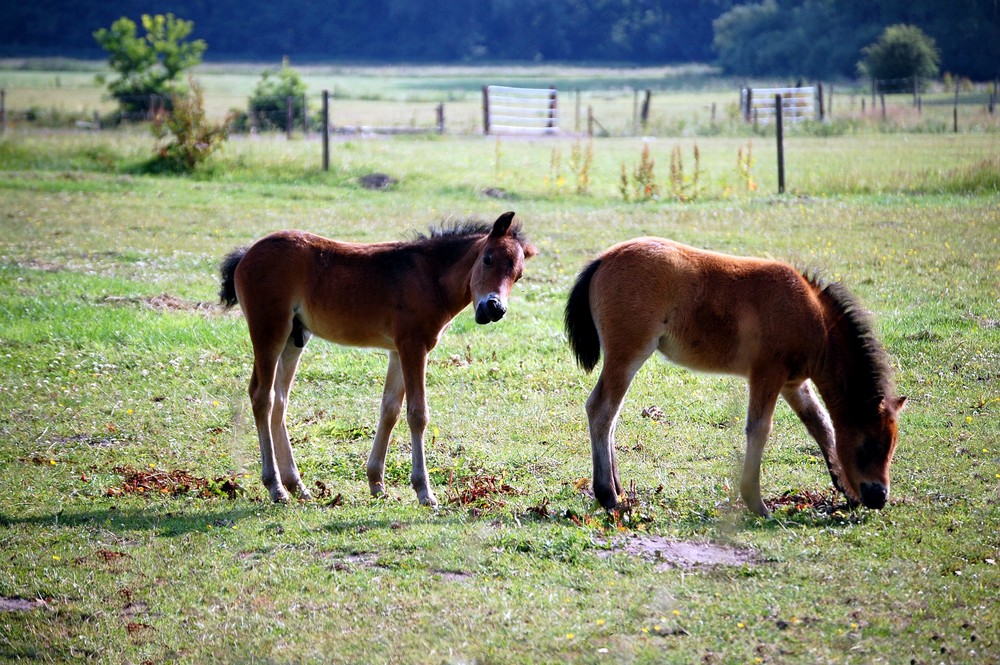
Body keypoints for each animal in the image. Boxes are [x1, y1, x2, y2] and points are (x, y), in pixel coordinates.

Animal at [217, 213, 532, 504]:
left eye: (518, 275)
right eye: (487, 259)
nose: (494, 308)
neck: (430, 276)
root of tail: (246, 254)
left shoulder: (398, 350)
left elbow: (390, 410)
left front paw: (376, 483)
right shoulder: (413, 346)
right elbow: (417, 414)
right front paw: (424, 491)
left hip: (295, 338)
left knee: (280, 400)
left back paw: (297, 486)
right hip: (269, 331)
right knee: (263, 396)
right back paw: (276, 487)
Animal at [564, 236, 908, 516]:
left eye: (892, 447)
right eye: (871, 446)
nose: (879, 497)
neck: (815, 319)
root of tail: (604, 258)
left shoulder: (793, 383)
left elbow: (821, 425)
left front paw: (844, 489)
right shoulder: (767, 373)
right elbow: (759, 428)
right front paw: (756, 503)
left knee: (610, 415)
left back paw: (617, 489)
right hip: (628, 354)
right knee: (602, 410)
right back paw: (607, 495)